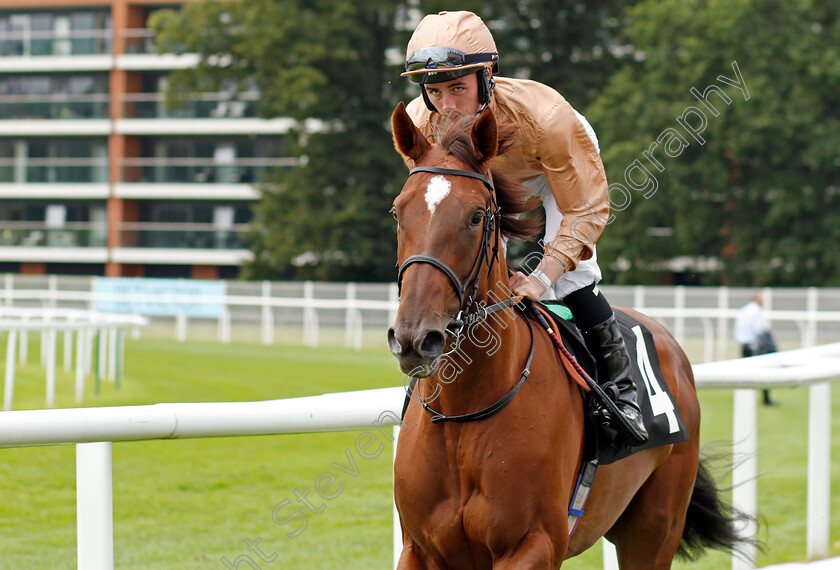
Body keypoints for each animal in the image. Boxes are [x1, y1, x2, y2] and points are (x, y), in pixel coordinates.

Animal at [388, 103, 748, 568]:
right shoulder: (420, 548)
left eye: (475, 216)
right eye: (398, 212)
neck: (461, 414)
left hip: (654, 528)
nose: (415, 337)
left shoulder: (535, 542)